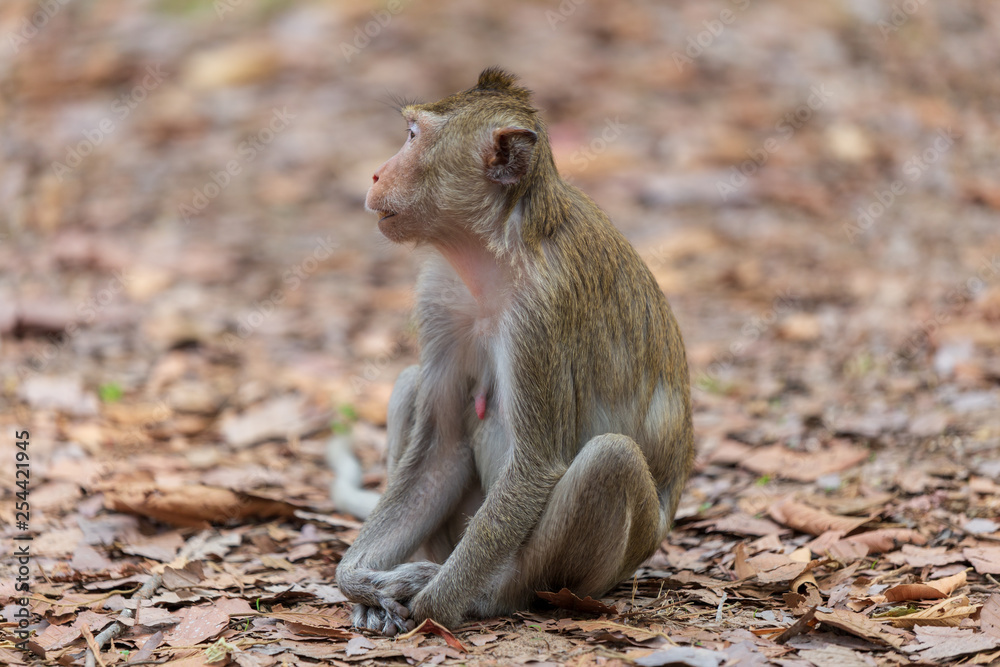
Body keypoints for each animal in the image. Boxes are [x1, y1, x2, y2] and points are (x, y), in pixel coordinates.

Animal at [333, 67, 694, 636]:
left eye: (413, 136)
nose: (374, 174)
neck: (497, 248)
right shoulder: (438, 293)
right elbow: (441, 451)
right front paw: (360, 582)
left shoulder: (540, 314)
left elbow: (535, 466)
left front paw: (432, 605)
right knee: (411, 385)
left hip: (592, 571)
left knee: (608, 458)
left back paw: (492, 595)